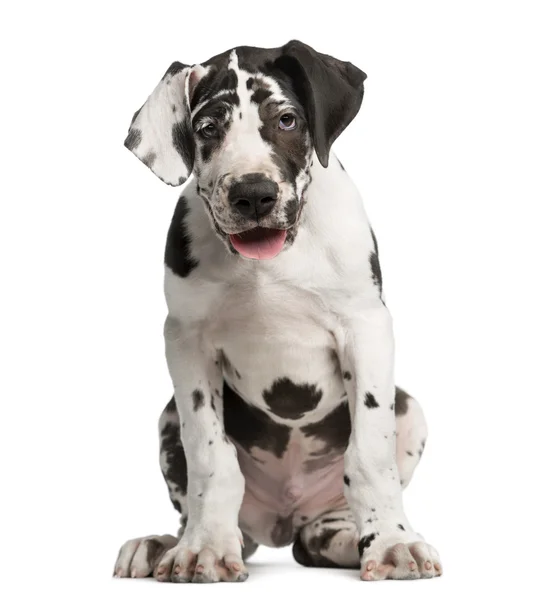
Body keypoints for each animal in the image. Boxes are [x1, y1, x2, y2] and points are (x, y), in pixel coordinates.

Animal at [114, 39, 442, 584]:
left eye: (286, 119)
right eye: (208, 129)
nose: (253, 194)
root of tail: (282, 521)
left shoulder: (367, 328)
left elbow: (370, 454)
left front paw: (393, 544)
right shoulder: (185, 341)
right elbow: (210, 455)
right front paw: (203, 548)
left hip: (409, 408)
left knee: (318, 535)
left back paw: (347, 539)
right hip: (166, 419)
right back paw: (165, 543)